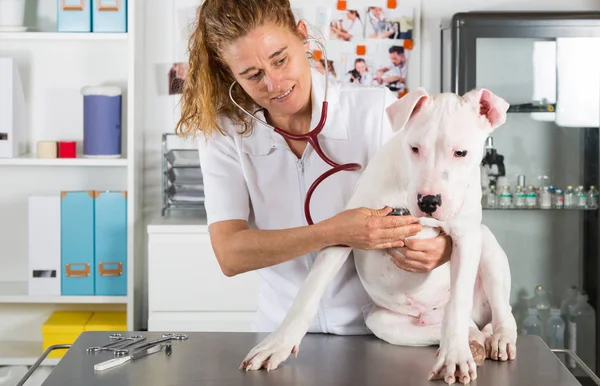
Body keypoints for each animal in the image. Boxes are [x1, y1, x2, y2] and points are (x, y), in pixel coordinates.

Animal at [241, 88, 516, 386]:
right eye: (414, 148)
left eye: (460, 153)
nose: (429, 201)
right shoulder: (346, 231)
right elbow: (309, 292)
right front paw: (277, 344)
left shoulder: (466, 236)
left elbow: (458, 301)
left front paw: (454, 356)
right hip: (382, 323)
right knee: (454, 328)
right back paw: (474, 339)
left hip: (486, 245)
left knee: (500, 310)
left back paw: (497, 338)